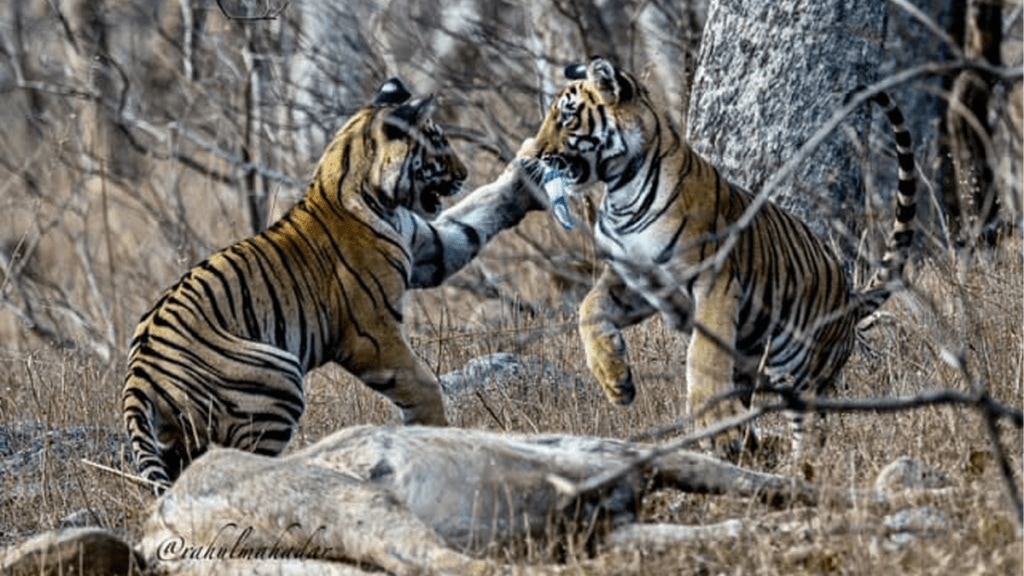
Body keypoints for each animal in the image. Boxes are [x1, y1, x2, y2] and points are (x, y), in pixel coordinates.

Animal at [123, 76, 548, 491]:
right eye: (439, 143)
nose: (463, 174)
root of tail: (139, 375)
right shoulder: (372, 334)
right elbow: (423, 385)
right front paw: (438, 437)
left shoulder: (430, 250)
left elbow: (476, 217)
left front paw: (527, 174)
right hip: (277, 380)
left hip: (190, 433)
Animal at [524, 58, 917, 459]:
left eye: (567, 118)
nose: (531, 157)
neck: (621, 192)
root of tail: (851, 298)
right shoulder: (632, 281)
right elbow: (588, 308)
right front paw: (614, 379)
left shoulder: (713, 280)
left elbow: (703, 355)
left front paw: (712, 422)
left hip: (801, 369)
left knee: (811, 427)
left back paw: (796, 464)